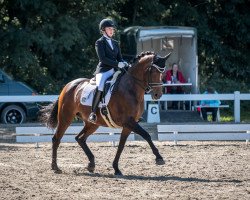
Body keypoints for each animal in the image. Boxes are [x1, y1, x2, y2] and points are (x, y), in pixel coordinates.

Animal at [40, 51, 172, 175]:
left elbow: (121, 145)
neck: (131, 88)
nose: (158, 95)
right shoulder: (128, 122)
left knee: (80, 138)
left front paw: (116, 168)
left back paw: (91, 164)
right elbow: (146, 135)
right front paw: (159, 158)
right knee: (56, 139)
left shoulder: (128, 125)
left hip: (92, 124)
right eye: (153, 72)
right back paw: (55, 167)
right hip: (65, 118)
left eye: (163, 72)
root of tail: (68, 85)